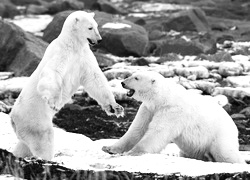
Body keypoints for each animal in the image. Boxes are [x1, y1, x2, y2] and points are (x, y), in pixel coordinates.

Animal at [10, 10, 124, 160]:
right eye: (90, 28)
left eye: (96, 26)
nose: (99, 40)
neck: (73, 44)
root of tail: (12, 118)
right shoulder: (62, 53)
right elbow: (52, 72)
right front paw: (54, 103)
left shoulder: (84, 57)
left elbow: (95, 79)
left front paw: (115, 108)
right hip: (34, 119)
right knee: (43, 140)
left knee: (24, 145)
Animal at [102, 71, 246, 164]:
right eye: (131, 75)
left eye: (136, 78)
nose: (122, 83)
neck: (162, 99)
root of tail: (234, 126)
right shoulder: (148, 109)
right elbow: (137, 130)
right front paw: (108, 148)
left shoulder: (172, 112)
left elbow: (157, 132)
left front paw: (133, 152)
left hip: (219, 135)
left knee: (225, 152)